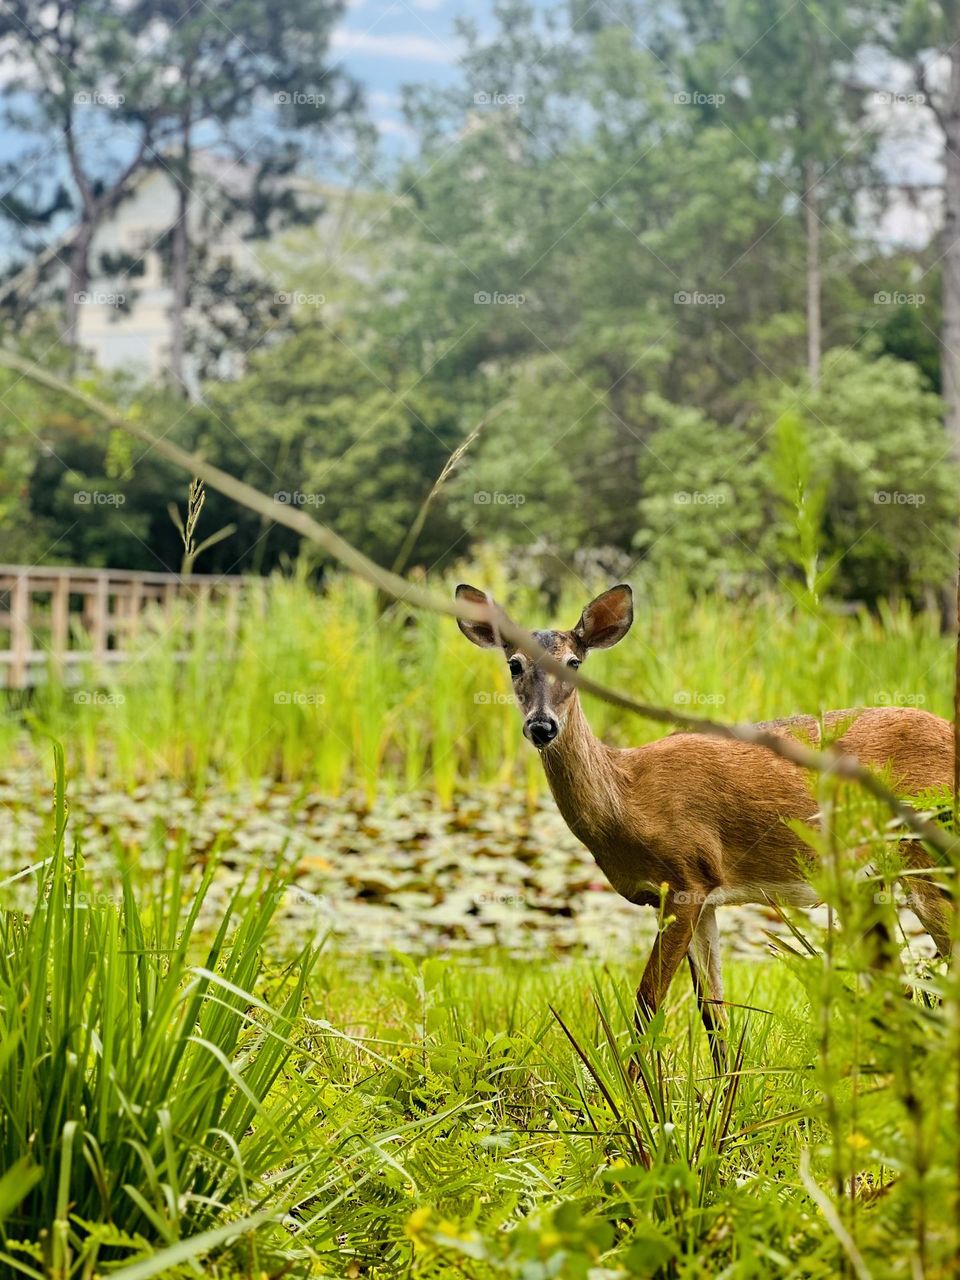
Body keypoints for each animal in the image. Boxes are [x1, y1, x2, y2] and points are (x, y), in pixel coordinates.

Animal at [455, 581, 957, 1059]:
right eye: (514, 664)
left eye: (574, 662)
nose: (542, 727)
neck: (627, 798)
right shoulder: (705, 896)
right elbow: (714, 1016)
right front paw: (724, 1092)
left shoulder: (684, 879)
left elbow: (647, 1005)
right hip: (869, 882)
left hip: (927, 853)